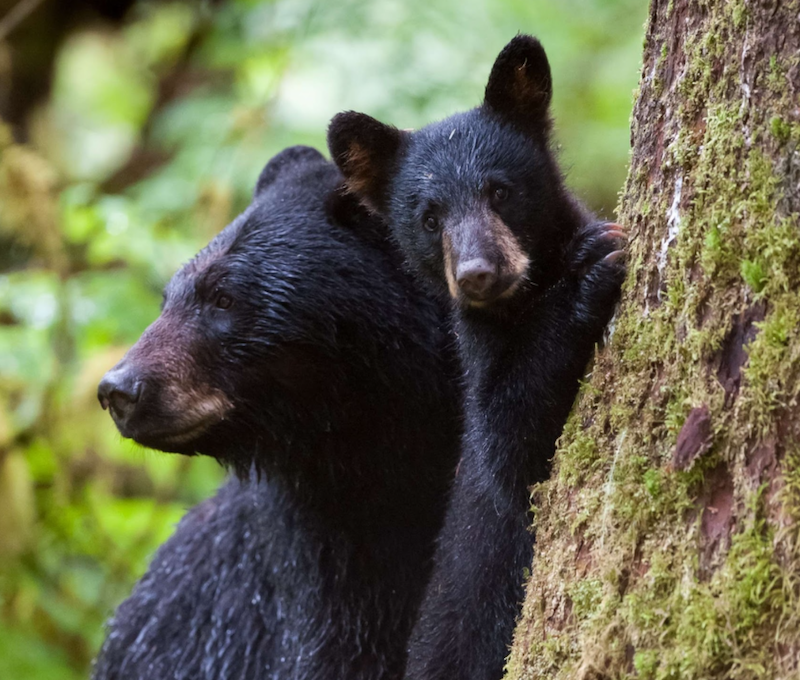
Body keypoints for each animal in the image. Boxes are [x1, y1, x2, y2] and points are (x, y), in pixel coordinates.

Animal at [328, 35, 628, 680]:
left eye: (500, 190)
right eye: (429, 216)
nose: (477, 274)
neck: (520, 302)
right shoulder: (481, 364)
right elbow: (511, 449)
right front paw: (588, 271)